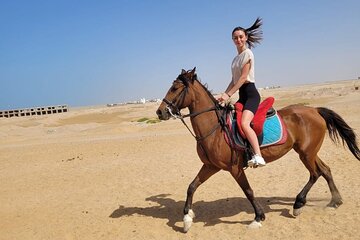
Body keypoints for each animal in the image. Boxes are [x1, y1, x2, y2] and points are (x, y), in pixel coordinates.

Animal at [155, 67, 360, 232]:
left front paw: (258, 217)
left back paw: (298, 204)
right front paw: (186, 218)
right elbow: (191, 186)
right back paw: (335, 201)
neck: (215, 128)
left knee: (315, 174)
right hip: (308, 152)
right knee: (325, 170)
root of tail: (315, 110)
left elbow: (248, 191)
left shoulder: (235, 168)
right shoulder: (211, 166)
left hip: (306, 154)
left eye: (175, 88)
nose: (160, 112)